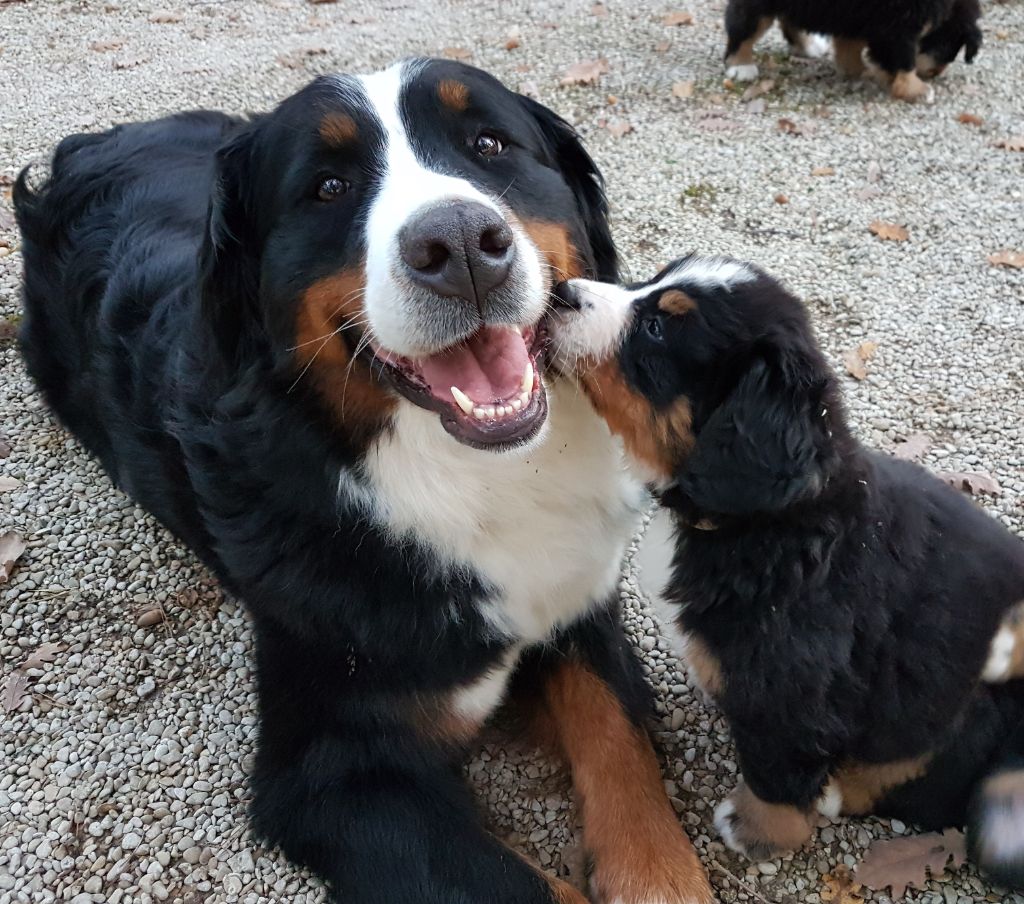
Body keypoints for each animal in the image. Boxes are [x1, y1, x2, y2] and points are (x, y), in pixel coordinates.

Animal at [12, 63, 712, 904]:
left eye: (488, 144)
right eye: (329, 186)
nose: (460, 245)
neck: (474, 479)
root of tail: (95, 143)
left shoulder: (578, 604)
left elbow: (622, 747)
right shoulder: (335, 774)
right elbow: (522, 886)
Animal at [548, 257, 1024, 888]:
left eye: (656, 329)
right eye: (649, 281)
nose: (559, 292)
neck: (764, 523)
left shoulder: (792, 692)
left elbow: (778, 771)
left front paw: (758, 831)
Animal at [724, 0, 978, 101]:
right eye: (946, 46)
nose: (936, 72)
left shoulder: (858, 18)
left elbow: (850, 48)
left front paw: (858, 71)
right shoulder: (897, 26)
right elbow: (903, 61)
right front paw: (918, 90)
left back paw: (809, 46)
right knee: (744, 25)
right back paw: (741, 66)